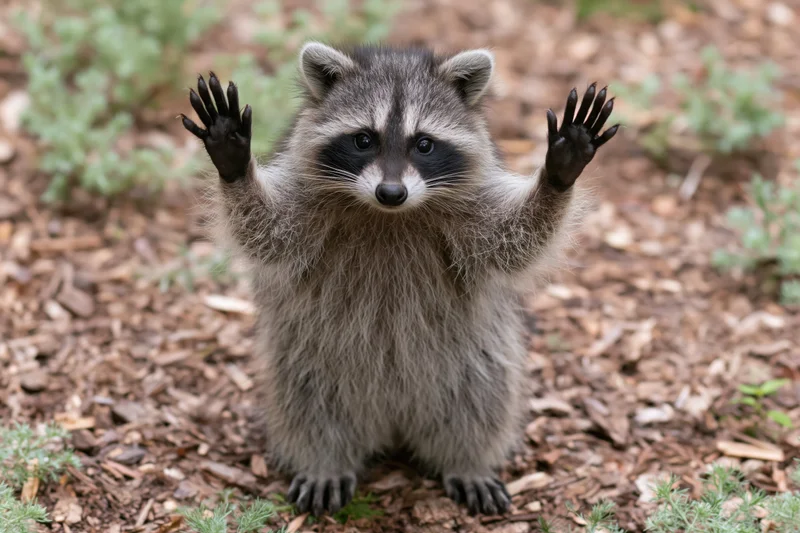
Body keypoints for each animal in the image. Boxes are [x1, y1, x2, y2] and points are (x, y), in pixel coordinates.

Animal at [181, 42, 618, 516]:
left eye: (424, 144)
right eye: (363, 139)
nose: (391, 193)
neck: (389, 214)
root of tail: (392, 424)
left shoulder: (472, 210)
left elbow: (513, 240)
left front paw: (558, 174)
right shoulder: (306, 201)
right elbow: (268, 232)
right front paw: (234, 164)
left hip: (473, 357)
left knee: (482, 401)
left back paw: (466, 460)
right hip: (307, 357)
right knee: (309, 407)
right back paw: (325, 461)